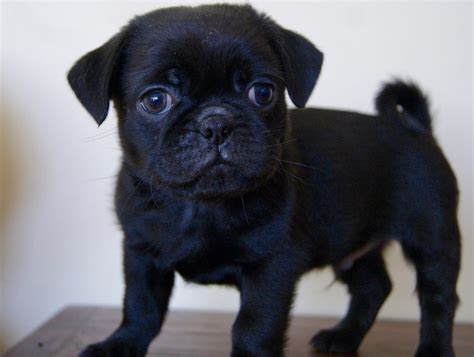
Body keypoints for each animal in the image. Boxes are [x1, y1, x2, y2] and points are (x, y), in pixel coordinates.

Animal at [68, 3, 462, 356]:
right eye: (154, 100)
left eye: (262, 92)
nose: (216, 122)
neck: (201, 206)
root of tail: (415, 127)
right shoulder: (141, 254)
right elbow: (140, 308)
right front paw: (119, 346)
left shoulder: (272, 266)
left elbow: (255, 326)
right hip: (351, 244)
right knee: (372, 287)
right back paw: (342, 338)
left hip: (432, 237)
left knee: (438, 299)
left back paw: (432, 350)